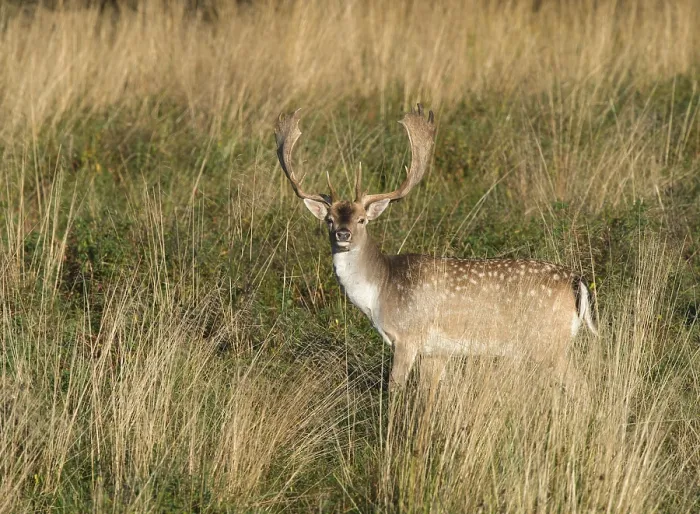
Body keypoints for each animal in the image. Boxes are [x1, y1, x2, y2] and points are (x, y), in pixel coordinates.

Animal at [274, 105, 598, 394]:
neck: (380, 291)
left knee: (582, 387)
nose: (343, 233)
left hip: (548, 343)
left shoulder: (408, 337)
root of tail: (578, 282)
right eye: (329, 219)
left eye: (362, 219)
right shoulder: (436, 351)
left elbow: (395, 389)